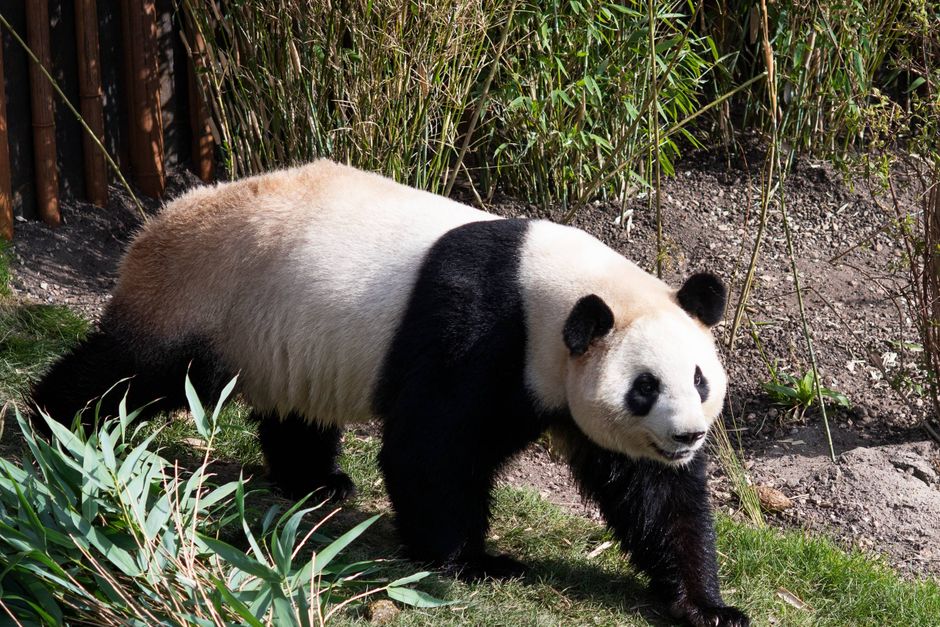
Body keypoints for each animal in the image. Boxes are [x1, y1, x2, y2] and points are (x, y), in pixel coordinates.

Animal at [31, 160, 749, 627]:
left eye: (699, 378)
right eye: (644, 387)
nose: (687, 435)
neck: (555, 292)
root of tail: (152, 223)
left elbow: (653, 493)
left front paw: (708, 606)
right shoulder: (481, 330)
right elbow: (432, 449)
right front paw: (475, 562)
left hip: (283, 330)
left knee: (294, 410)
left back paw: (319, 483)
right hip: (204, 299)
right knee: (135, 371)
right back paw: (58, 424)